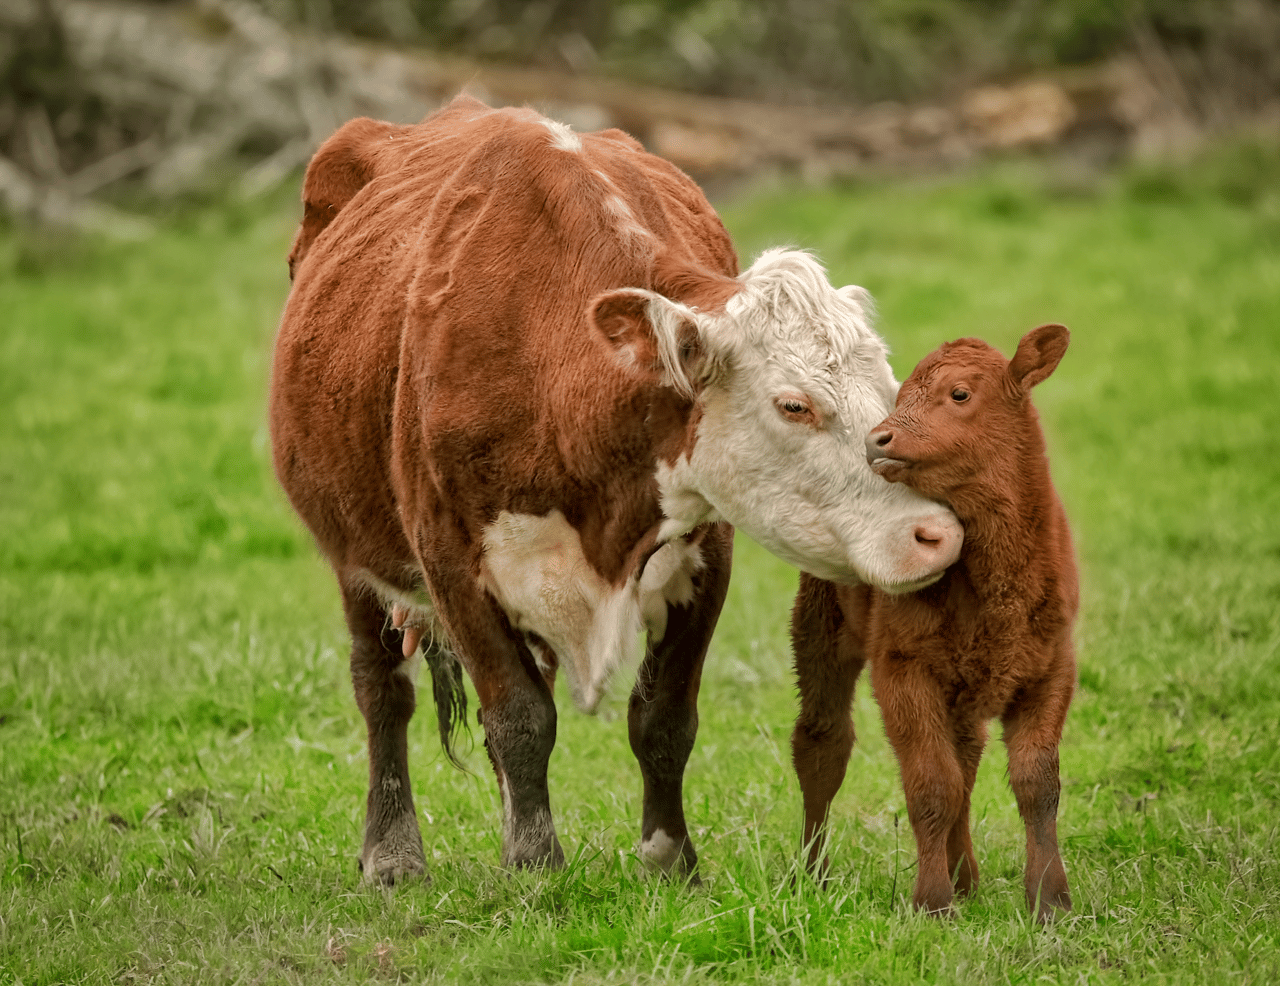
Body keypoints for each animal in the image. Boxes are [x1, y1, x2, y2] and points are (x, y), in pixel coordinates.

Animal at [275, 96, 962, 880]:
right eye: (794, 405)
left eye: (888, 392)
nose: (936, 534)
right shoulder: (450, 559)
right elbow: (519, 716)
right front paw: (535, 864)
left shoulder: (707, 553)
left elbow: (661, 717)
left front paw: (668, 860)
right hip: (354, 552)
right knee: (381, 688)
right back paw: (391, 853)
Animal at [793, 326, 1075, 916]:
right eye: (899, 396)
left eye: (960, 394)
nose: (878, 438)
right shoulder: (903, 669)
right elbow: (931, 786)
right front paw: (931, 901)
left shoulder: (1052, 668)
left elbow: (1036, 784)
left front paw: (1050, 900)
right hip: (820, 629)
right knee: (822, 745)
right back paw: (811, 876)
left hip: (966, 688)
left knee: (966, 760)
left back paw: (965, 875)